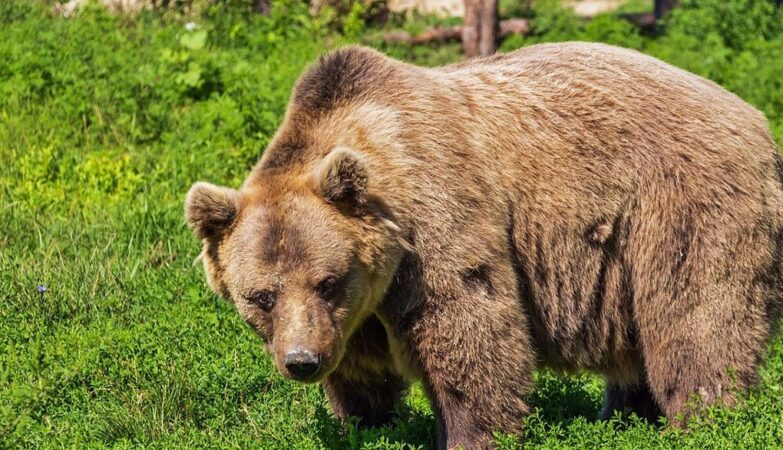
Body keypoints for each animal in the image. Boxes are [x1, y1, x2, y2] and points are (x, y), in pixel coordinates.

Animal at [185, 41, 783, 446]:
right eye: (261, 296)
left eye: (327, 281)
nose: (302, 361)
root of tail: (754, 117)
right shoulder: (360, 309)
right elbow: (362, 370)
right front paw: (364, 421)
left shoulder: (437, 221)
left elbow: (470, 328)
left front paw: (471, 432)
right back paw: (624, 414)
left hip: (681, 206)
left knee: (697, 321)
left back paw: (707, 418)